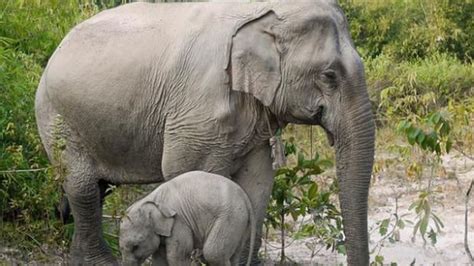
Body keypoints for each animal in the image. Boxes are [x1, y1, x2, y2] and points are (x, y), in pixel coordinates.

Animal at [120, 171, 258, 264]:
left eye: (136, 246)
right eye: (121, 249)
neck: (152, 199)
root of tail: (245, 197)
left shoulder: (179, 223)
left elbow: (177, 256)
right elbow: (160, 257)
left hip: (230, 218)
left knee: (213, 253)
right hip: (242, 223)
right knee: (233, 255)